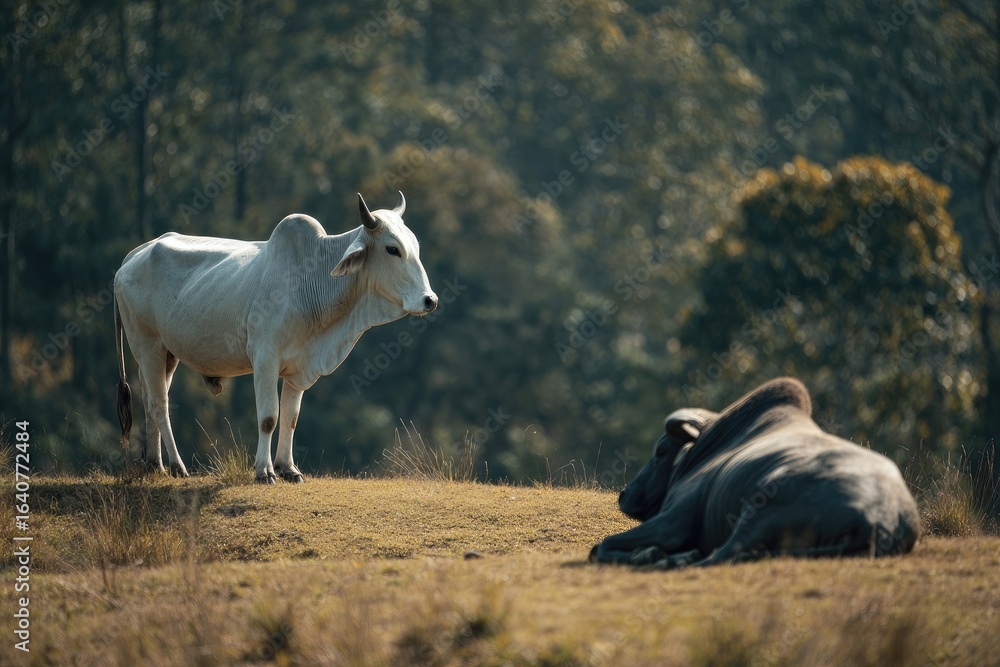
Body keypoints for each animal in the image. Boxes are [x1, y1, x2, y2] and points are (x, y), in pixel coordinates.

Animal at [114, 192, 437, 483]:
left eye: (416, 247)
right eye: (392, 249)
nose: (429, 300)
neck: (311, 281)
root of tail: (132, 257)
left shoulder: (298, 368)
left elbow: (291, 418)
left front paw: (288, 468)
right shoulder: (265, 359)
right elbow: (269, 417)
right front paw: (264, 471)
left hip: (167, 354)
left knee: (150, 400)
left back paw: (156, 464)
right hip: (148, 345)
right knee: (160, 404)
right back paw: (177, 466)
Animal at [590, 377, 920, 567]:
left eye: (661, 451)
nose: (625, 494)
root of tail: (881, 516)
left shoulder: (671, 522)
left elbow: (601, 545)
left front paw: (649, 554)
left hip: (757, 513)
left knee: (720, 555)